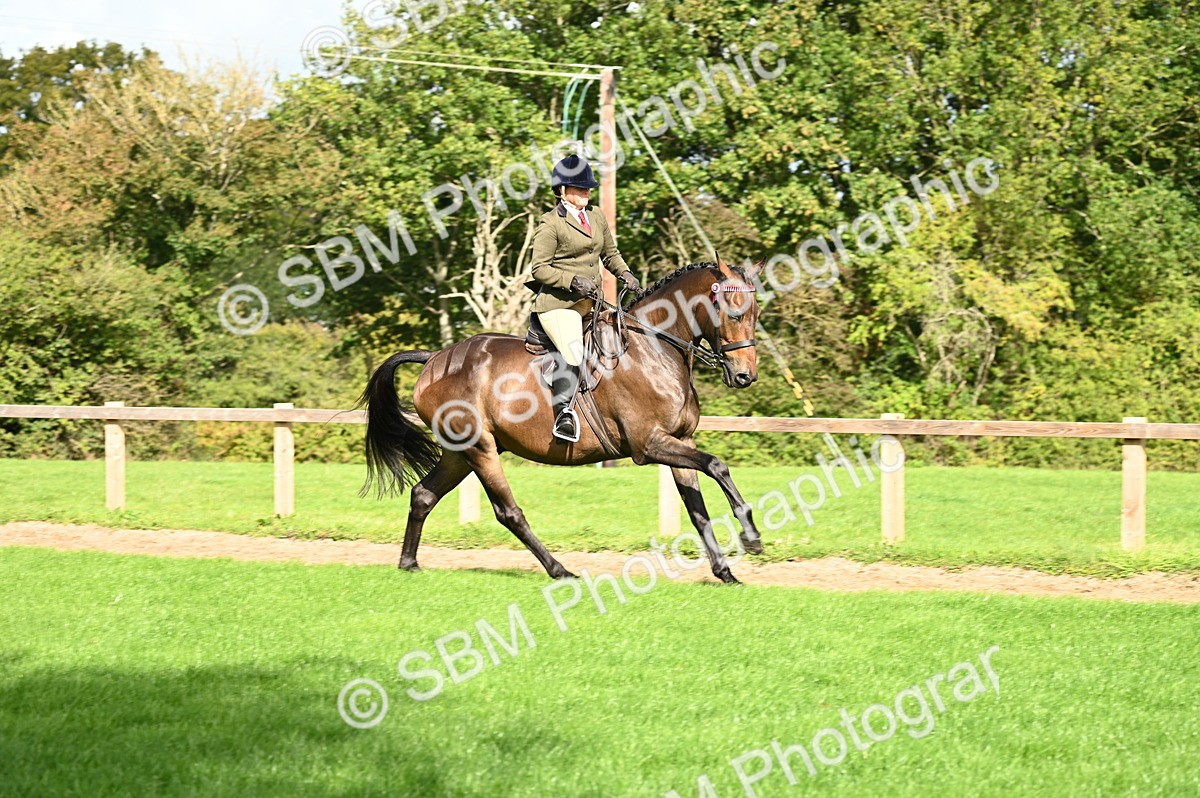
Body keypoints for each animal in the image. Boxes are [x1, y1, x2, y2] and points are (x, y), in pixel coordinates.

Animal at [359, 255, 766, 584]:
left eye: (756, 314)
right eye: (734, 312)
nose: (745, 376)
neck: (654, 347)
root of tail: (433, 359)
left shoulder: (680, 440)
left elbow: (698, 510)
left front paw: (725, 572)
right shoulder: (650, 444)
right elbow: (717, 466)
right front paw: (751, 535)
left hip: (460, 453)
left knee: (423, 495)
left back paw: (409, 563)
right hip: (480, 449)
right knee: (508, 512)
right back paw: (560, 570)